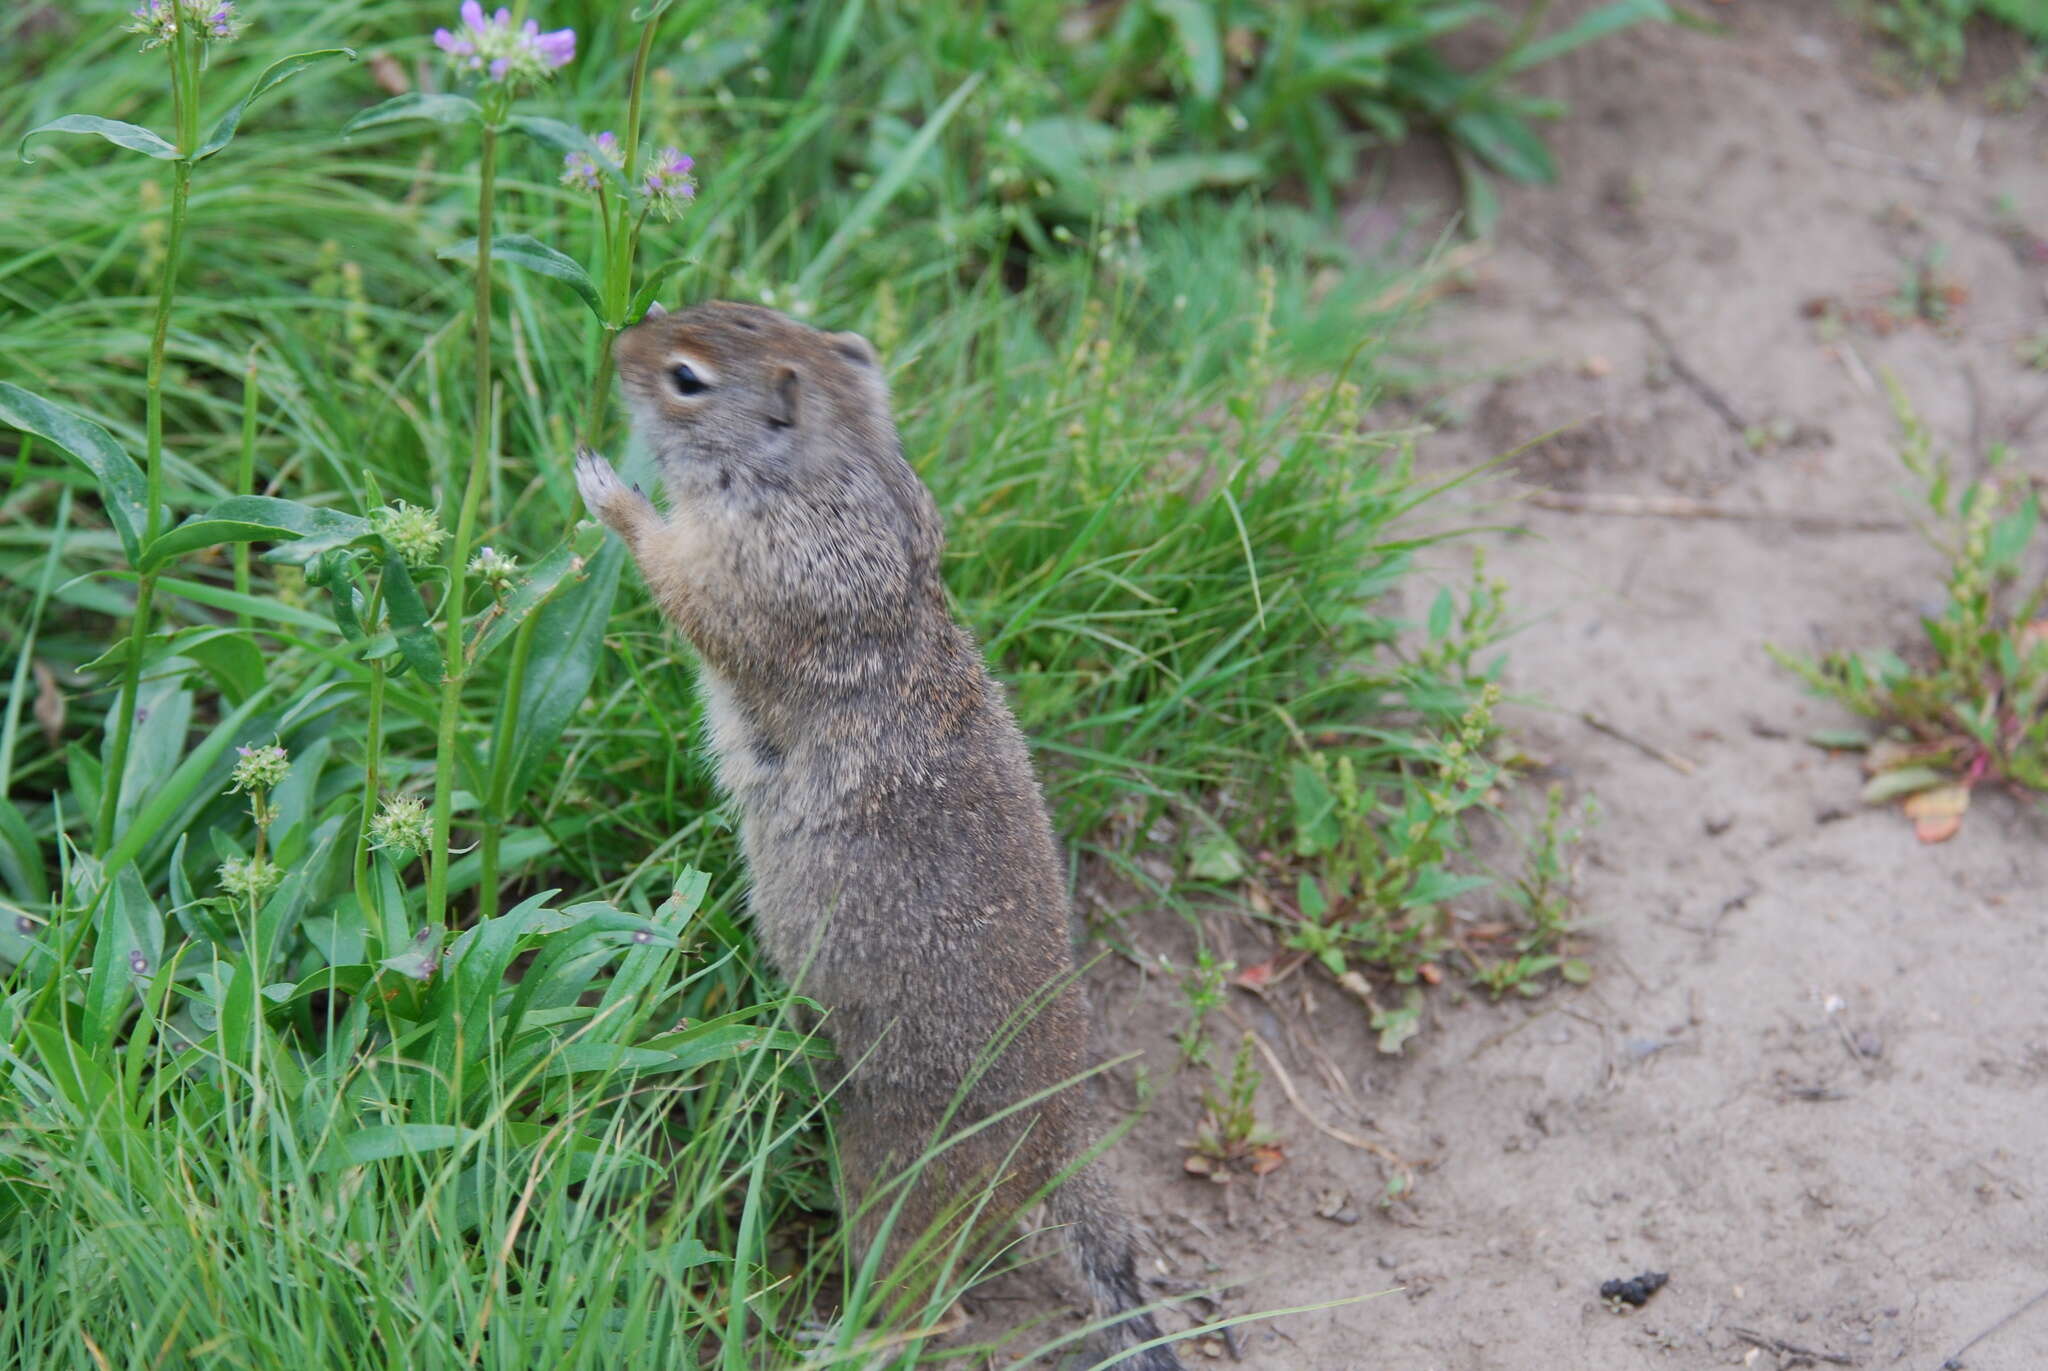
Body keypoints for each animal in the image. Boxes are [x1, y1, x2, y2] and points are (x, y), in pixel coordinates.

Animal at [577, 301, 1187, 1368]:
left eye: (686, 377)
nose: (616, 346)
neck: (833, 477)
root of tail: (1059, 1140)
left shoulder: (756, 579)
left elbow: (678, 581)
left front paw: (608, 490)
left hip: (891, 1180)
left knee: (925, 1306)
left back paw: (838, 1339)